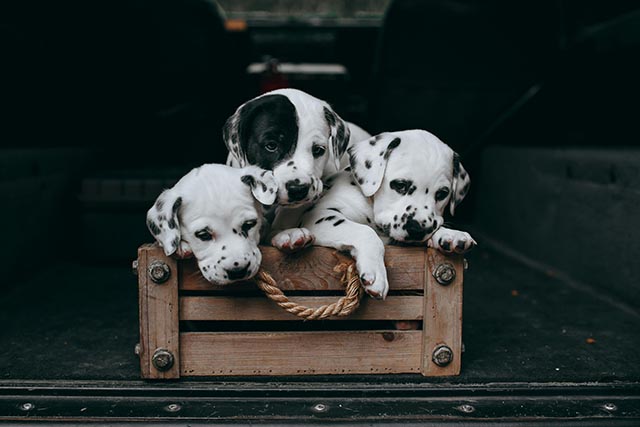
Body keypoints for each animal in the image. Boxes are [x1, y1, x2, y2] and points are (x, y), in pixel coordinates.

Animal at [300, 129, 476, 300]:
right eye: (400, 185)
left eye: (442, 194)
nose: (417, 229)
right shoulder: (319, 216)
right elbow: (366, 231)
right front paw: (375, 272)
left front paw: (450, 235)